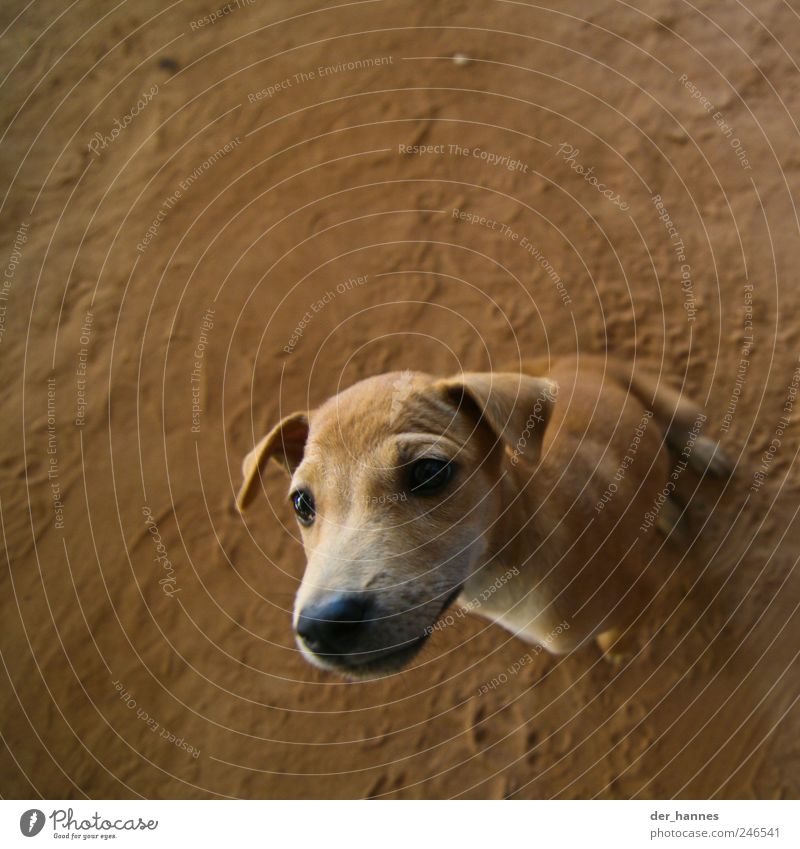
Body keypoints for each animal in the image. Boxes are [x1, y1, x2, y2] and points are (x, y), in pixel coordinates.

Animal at [234, 354, 728, 680]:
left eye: (430, 472)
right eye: (302, 504)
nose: (323, 627)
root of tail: (573, 358)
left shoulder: (641, 591)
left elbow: (619, 633)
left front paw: (619, 648)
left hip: (660, 393)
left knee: (680, 426)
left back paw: (706, 457)